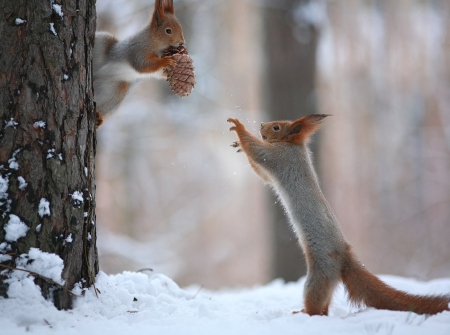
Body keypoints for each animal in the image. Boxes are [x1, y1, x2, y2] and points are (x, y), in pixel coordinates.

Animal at [229, 114, 450, 316]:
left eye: (276, 127)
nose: (261, 125)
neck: (293, 145)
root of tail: (345, 257)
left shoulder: (281, 158)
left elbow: (258, 153)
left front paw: (239, 128)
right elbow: (262, 172)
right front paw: (238, 145)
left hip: (320, 272)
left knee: (315, 301)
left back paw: (304, 312)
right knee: (324, 305)